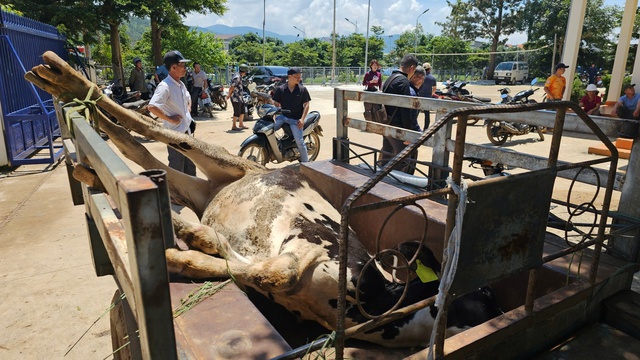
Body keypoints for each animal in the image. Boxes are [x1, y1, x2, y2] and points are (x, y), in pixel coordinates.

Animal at [25, 52, 502, 348]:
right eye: (481, 296)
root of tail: (245, 174)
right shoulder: (313, 245)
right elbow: (266, 269)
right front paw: (189, 244)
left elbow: (245, 269)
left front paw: (186, 248)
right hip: (225, 161)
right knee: (153, 129)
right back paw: (62, 78)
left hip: (205, 186)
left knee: (154, 163)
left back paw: (94, 168)